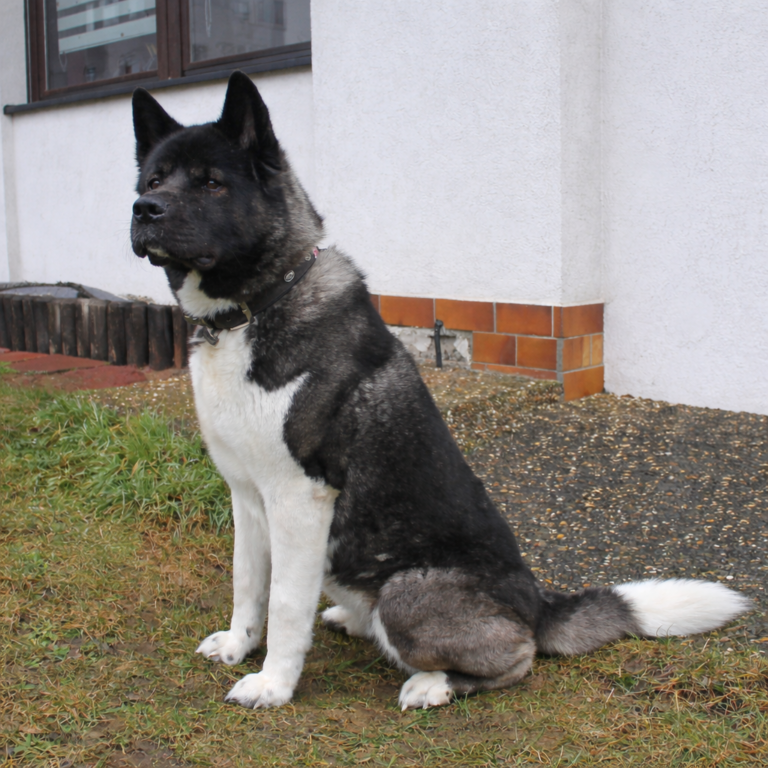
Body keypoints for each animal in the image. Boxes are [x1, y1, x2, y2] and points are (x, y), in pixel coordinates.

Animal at [129, 72, 750, 710]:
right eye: (154, 179)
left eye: (211, 182)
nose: (144, 209)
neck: (255, 308)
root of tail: (538, 604)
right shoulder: (247, 497)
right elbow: (248, 583)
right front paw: (237, 646)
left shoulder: (300, 498)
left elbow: (284, 603)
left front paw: (274, 684)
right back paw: (352, 619)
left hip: (407, 591)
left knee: (517, 657)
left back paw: (433, 683)